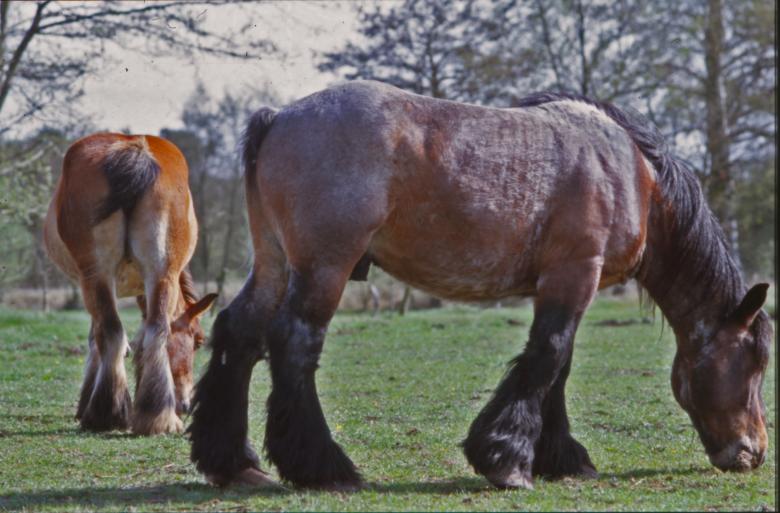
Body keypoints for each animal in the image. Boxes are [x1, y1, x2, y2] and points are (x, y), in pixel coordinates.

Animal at [44, 133, 218, 435]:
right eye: (199, 341)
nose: (186, 404)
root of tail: (134, 151)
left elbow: (96, 338)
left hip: (97, 276)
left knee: (111, 331)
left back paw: (108, 413)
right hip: (160, 273)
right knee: (155, 331)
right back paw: (155, 415)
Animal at [187, 81, 772, 489]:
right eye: (756, 362)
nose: (754, 452)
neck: (631, 174)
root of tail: (279, 117)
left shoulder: (560, 284)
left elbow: (557, 365)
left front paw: (559, 457)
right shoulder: (575, 273)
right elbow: (548, 357)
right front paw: (507, 460)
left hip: (275, 262)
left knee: (239, 334)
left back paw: (233, 463)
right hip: (324, 268)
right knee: (294, 344)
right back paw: (323, 467)